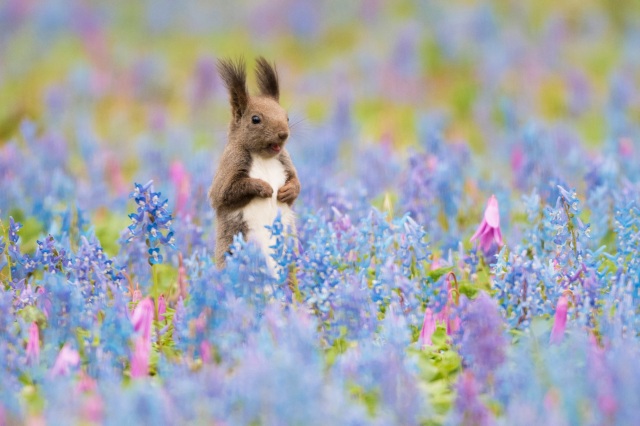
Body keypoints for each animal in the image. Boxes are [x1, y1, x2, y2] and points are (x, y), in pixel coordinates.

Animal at [209, 57, 302, 270]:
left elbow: (296, 184)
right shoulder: (230, 165)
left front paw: (288, 191)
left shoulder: (286, 162)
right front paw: (263, 187)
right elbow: (226, 193)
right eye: (256, 119)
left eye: (287, 117)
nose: (283, 134)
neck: (264, 157)